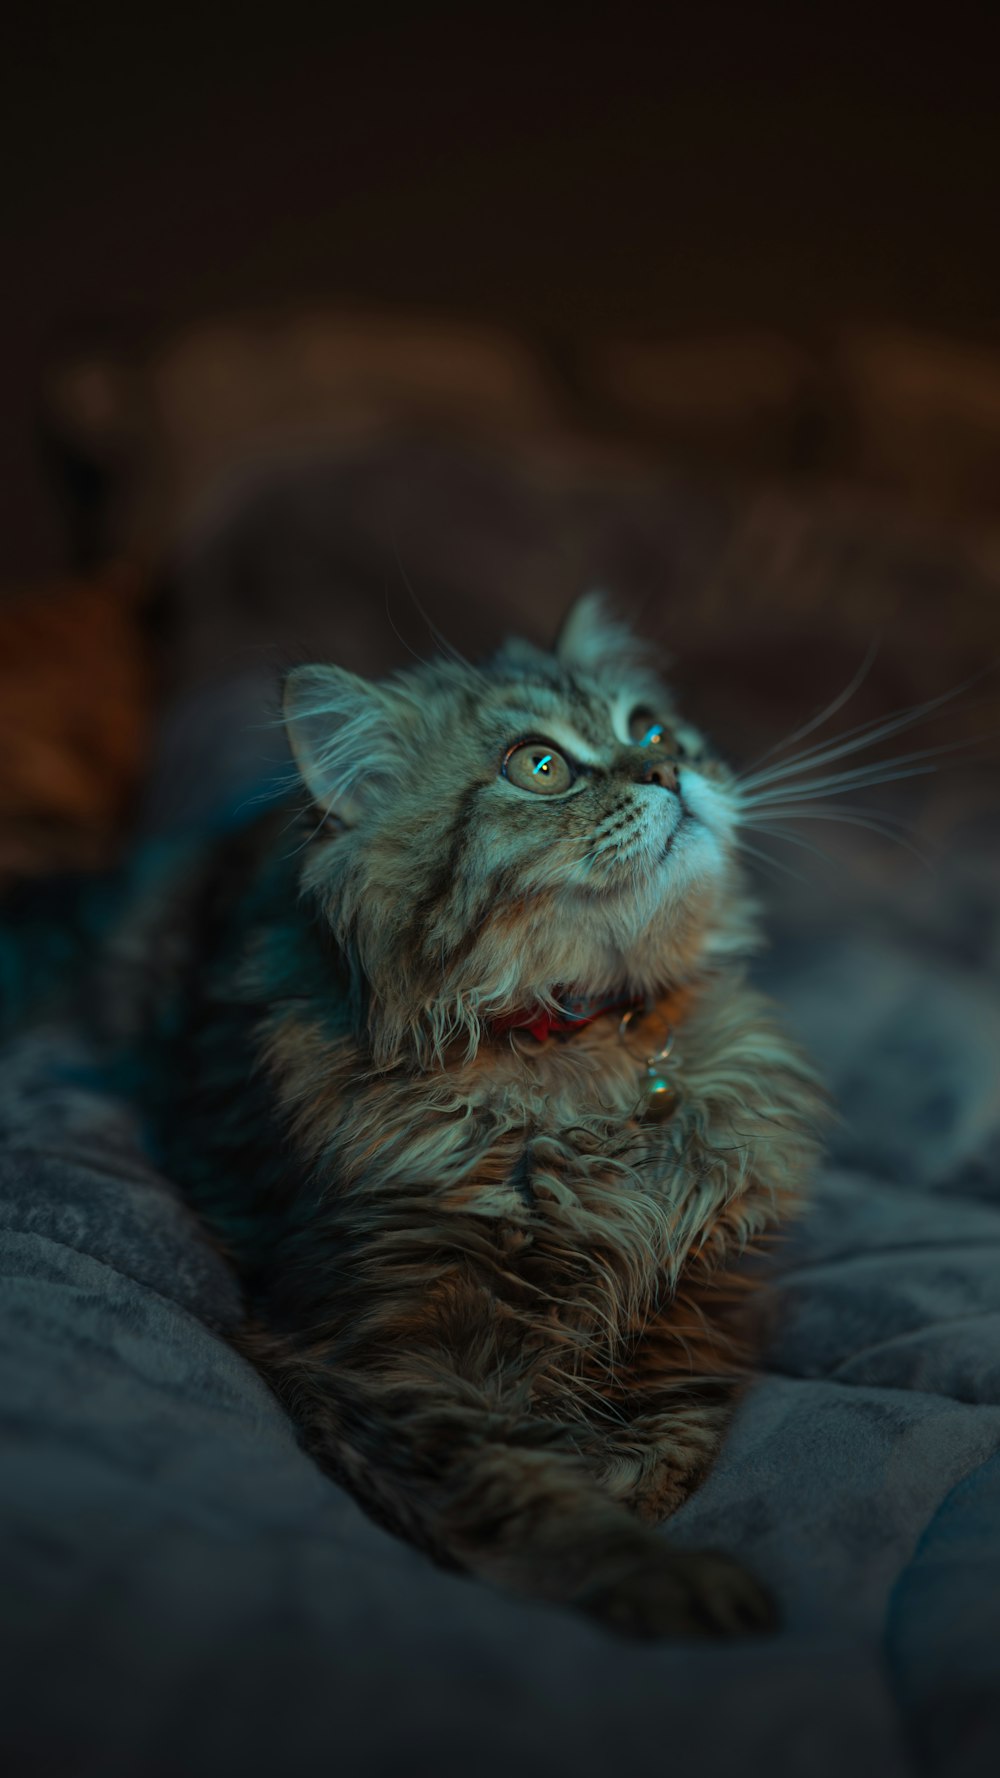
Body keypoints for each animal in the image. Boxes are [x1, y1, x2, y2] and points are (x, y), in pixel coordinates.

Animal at [134, 593, 818, 1635]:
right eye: (539, 767)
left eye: (653, 732)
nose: (669, 770)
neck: (585, 1053)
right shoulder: (392, 1350)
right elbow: (525, 1487)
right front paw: (662, 1577)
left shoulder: (697, 1301)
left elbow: (670, 1436)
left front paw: (631, 1488)